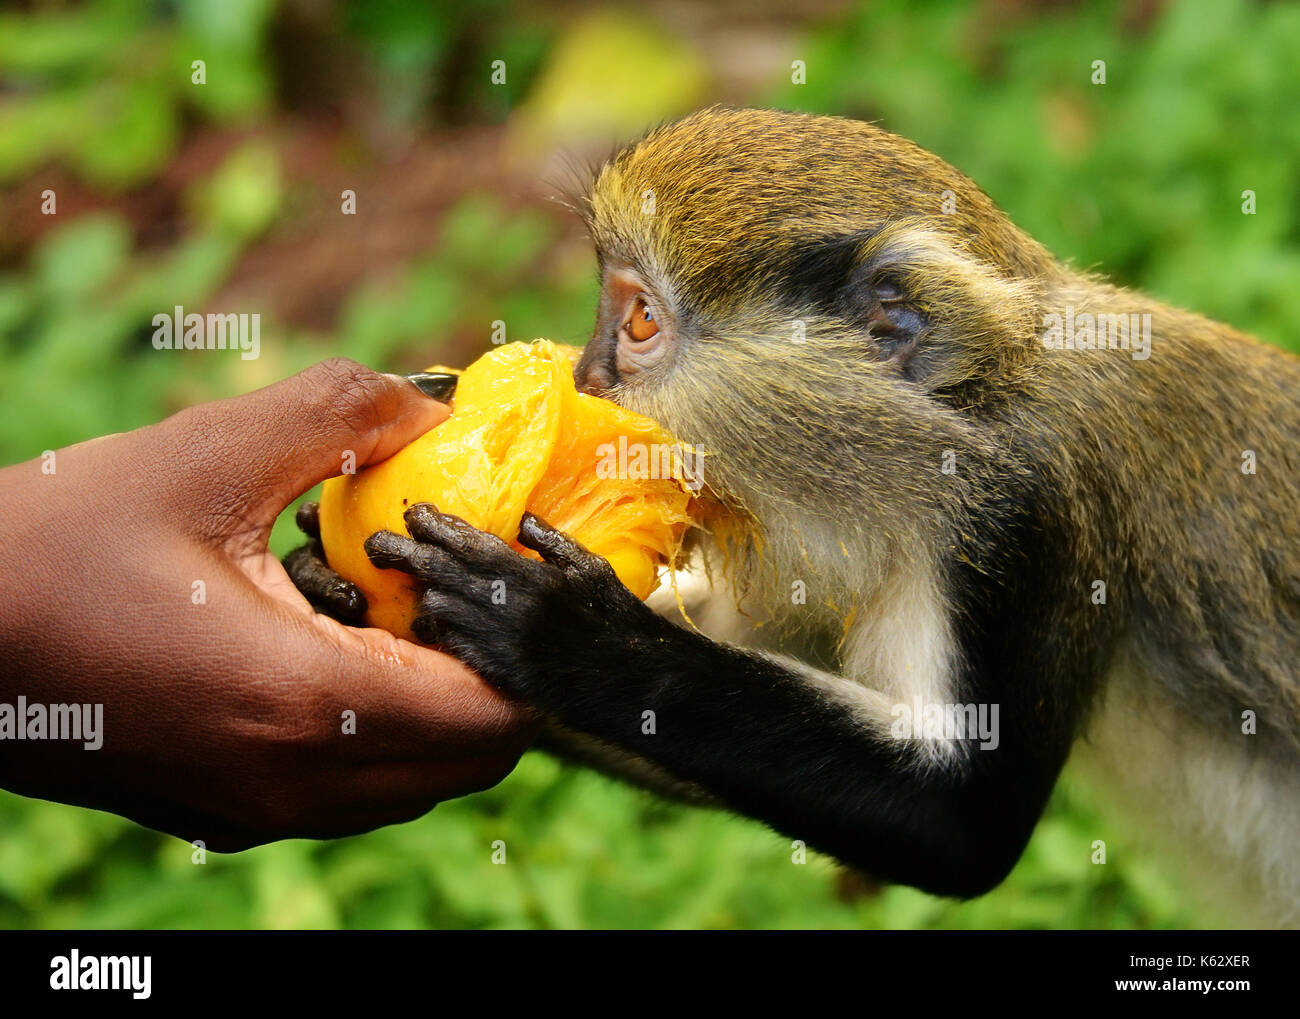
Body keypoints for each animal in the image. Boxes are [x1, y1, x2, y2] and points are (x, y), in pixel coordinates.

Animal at [288, 107, 1300, 922]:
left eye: (640, 322)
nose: (584, 379)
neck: (962, 414)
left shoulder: (1024, 522)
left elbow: (964, 829)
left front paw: (569, 639)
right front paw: (324, 586)